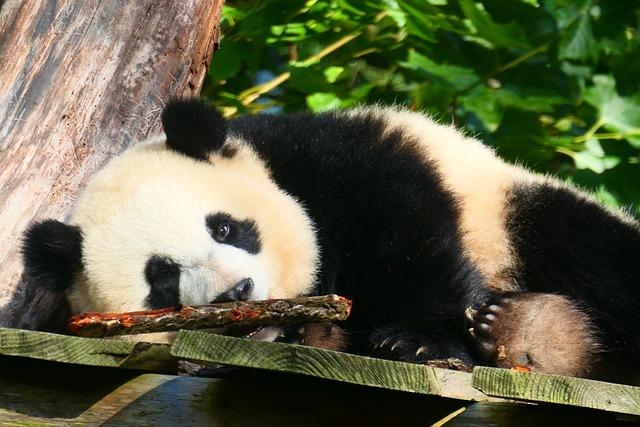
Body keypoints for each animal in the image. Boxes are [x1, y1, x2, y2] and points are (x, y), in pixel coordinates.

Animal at [10, 98, 640, 384]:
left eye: (225, 227)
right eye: (162, 279)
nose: (237, 292)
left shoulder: (336, 159)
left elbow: (403, 233)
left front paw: (418, 343)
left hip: (513, 211)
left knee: (591, 251)